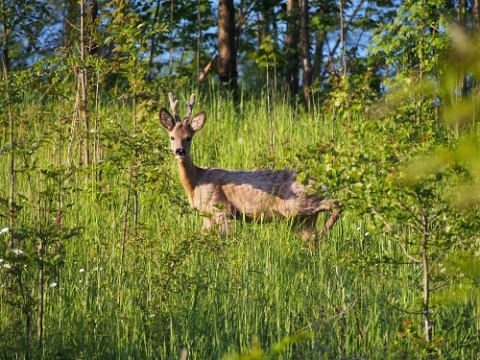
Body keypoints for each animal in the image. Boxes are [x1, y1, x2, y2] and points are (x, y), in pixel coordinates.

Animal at [159, 93, 340, 240]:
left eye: (189, 137)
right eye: (172, 137)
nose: (180, 151)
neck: (196, 182)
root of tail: (323, 184)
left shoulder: (222, 208)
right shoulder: (206, 215)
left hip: (295, 203)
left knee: (335, 203)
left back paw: (325, 231)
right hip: (303, 220)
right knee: (312, 236)